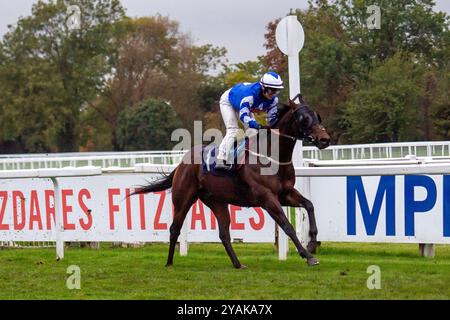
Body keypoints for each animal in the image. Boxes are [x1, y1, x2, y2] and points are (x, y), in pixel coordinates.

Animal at [134, 96, 330, 268]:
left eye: (318, 116)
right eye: (304, 119)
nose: (325, 139)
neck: (272, 157)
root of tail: (181, 163)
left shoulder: (285, 194)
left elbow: (309, 205)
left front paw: (312, 242)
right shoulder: (267, 198)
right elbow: (287, 226)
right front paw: (308, 256)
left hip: (217, 202)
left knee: (224, 234)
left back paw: (238, 264)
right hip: (183, 199)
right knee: (175, 228)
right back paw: (169, 262)